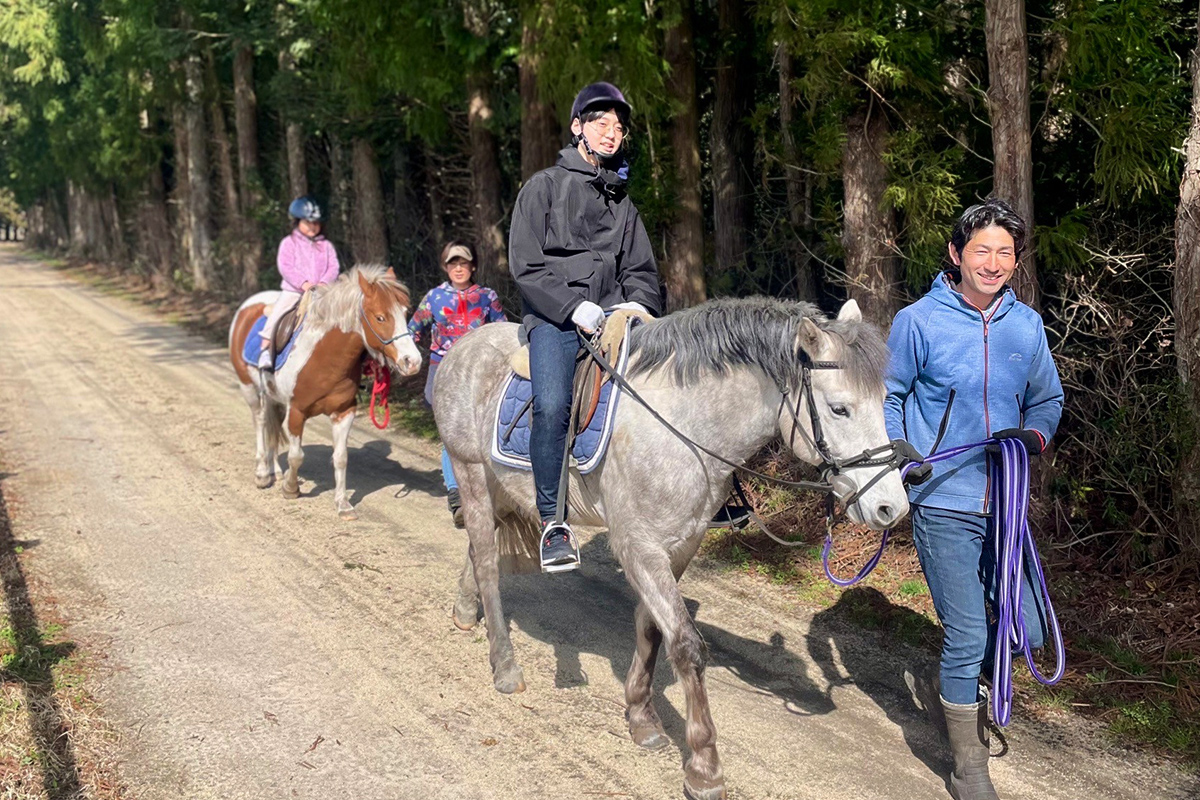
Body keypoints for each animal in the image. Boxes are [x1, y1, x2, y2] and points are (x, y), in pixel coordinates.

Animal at [228, 266, 422, 522]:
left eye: (405, 312)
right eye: (380, 317)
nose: (413, 362)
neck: (324, 358)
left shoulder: (344, 412)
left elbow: (340, 458)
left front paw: (343, 504)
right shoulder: (297, 412)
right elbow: (296, 455)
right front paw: (291, 489)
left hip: (273, 396)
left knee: (271, 425)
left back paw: (274, 471)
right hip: (249, 388)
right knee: (260, 422)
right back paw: (262, 474)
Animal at [434, 298, 907, 800]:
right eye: (839, 409)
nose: (890, 507)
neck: (684, 424)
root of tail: (465, 345)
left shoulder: (680, 544)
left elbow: (651, 629)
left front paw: (641, 716)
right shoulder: (638, 545)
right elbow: (685, 645)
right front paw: (704, 766)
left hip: (502, 488)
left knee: (477, 554)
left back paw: (464, 611)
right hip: (470, 473)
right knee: (487, 563)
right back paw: (504, 666)